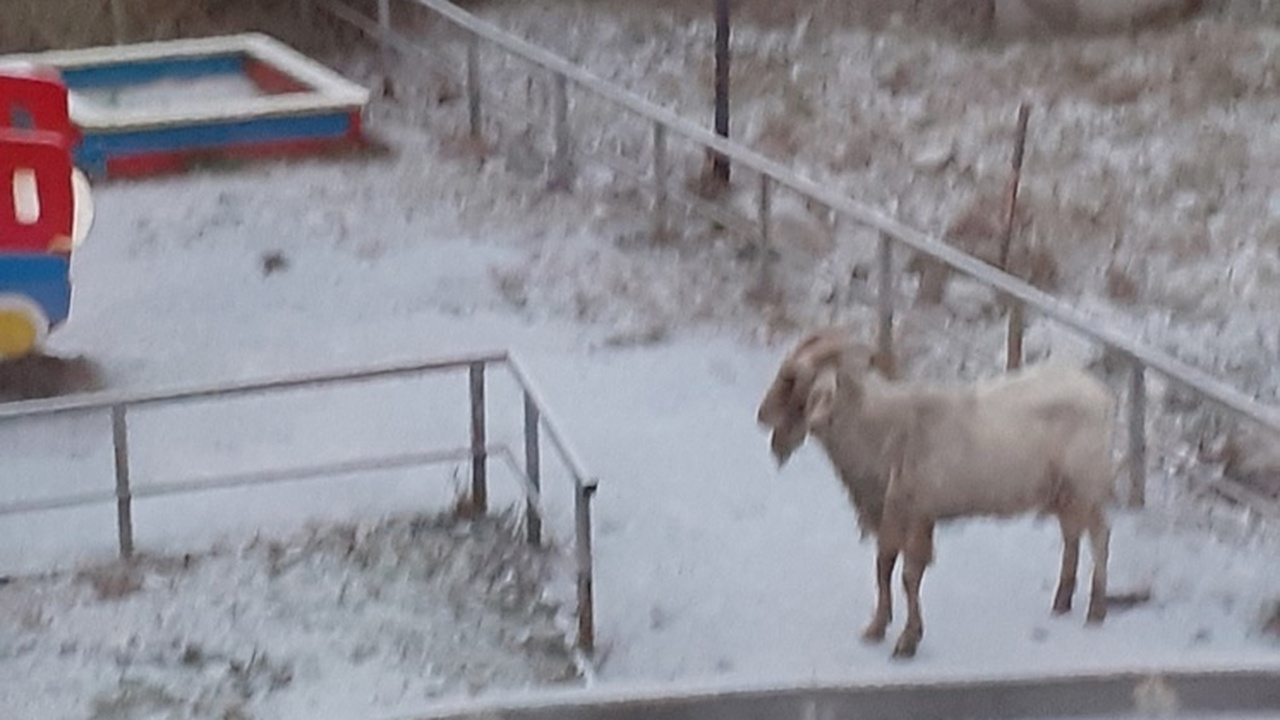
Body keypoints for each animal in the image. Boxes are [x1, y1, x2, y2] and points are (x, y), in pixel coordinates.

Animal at [752, 325, 1116, 655]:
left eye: (792, 379)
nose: (762, 415)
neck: (885, 431)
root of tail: (1100, 395)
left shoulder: (918, 512)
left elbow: (909, 576)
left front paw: (907, 640)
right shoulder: (890, 513)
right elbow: (883, 567)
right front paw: (876, 627)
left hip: (1087, 482)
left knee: (1099, 536)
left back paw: (1096, 610)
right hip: (1064, 491)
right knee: (1072, 534)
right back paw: (1062, 602)